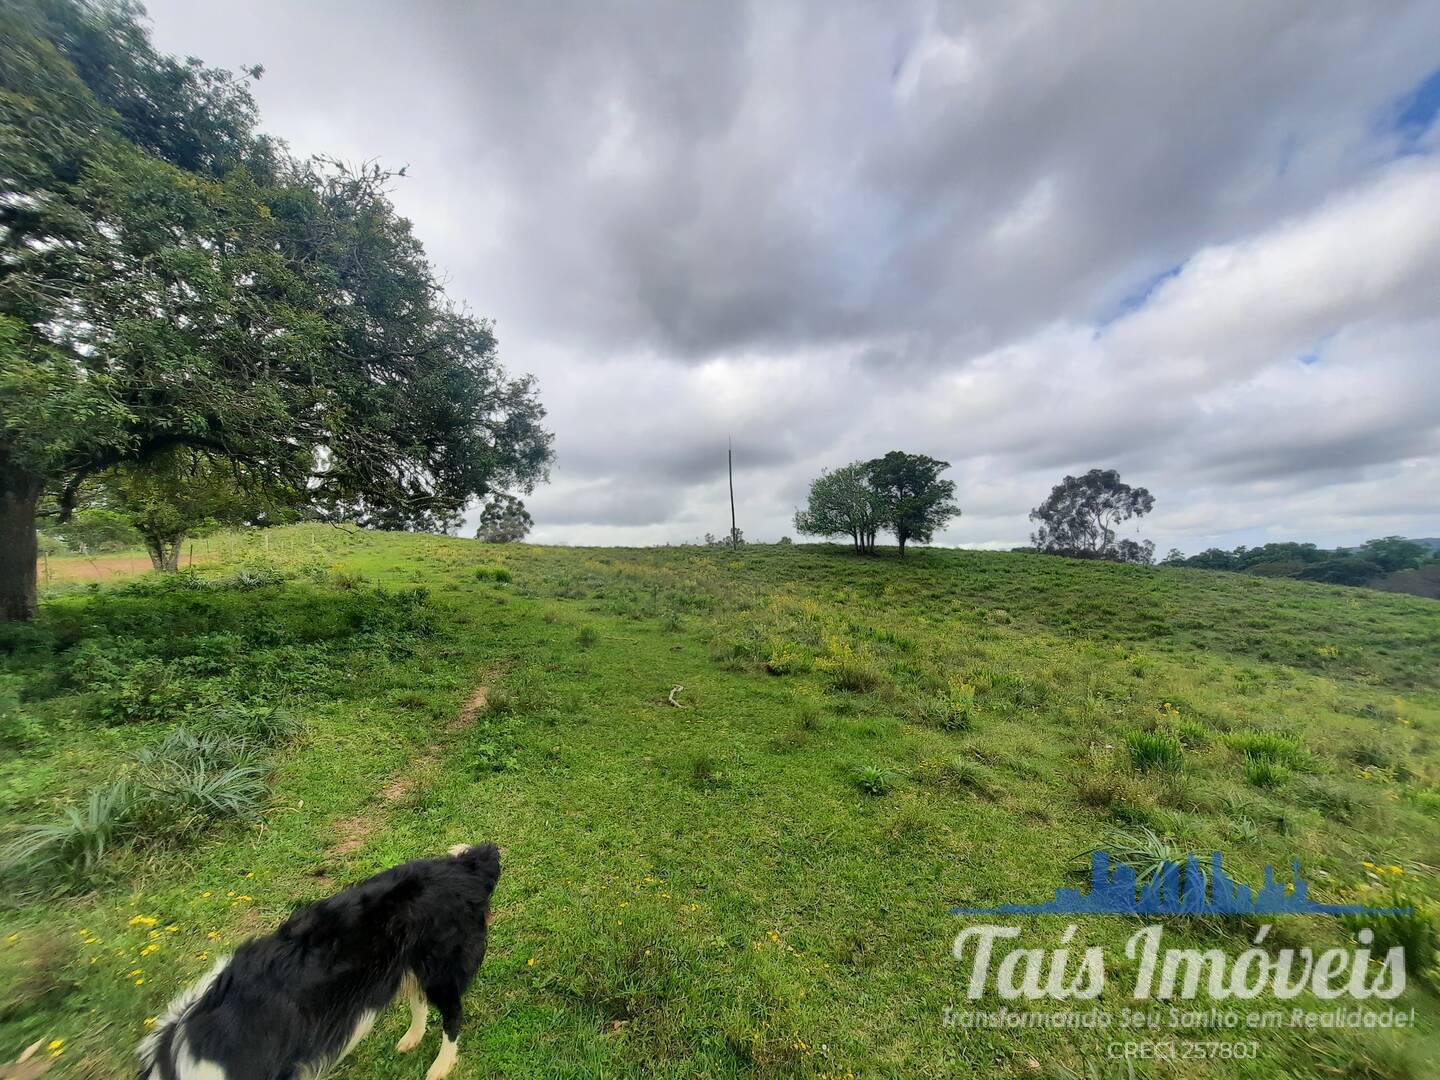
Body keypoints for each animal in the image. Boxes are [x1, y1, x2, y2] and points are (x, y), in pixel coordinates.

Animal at [138, 846, 501, 1080]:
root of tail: (464, 865)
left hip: (442, 966)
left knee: (452, 1015)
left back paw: (441, 1065)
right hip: (411, 962)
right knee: (418, 998)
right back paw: (412, 1037)